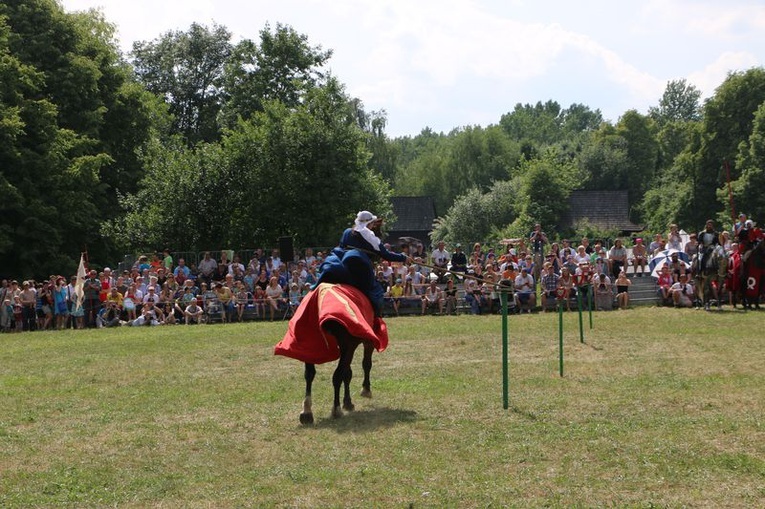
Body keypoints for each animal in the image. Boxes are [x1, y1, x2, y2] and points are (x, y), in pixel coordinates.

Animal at [274, 284, 388, 422]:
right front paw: (363, 391)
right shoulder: (364, 342)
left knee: (309, 374)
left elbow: (347, 373)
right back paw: (336, 409)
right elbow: (364, 365)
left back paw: (307, 411)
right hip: (347, 346)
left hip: (310, 346)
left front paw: (348, 402)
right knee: (337, 375)